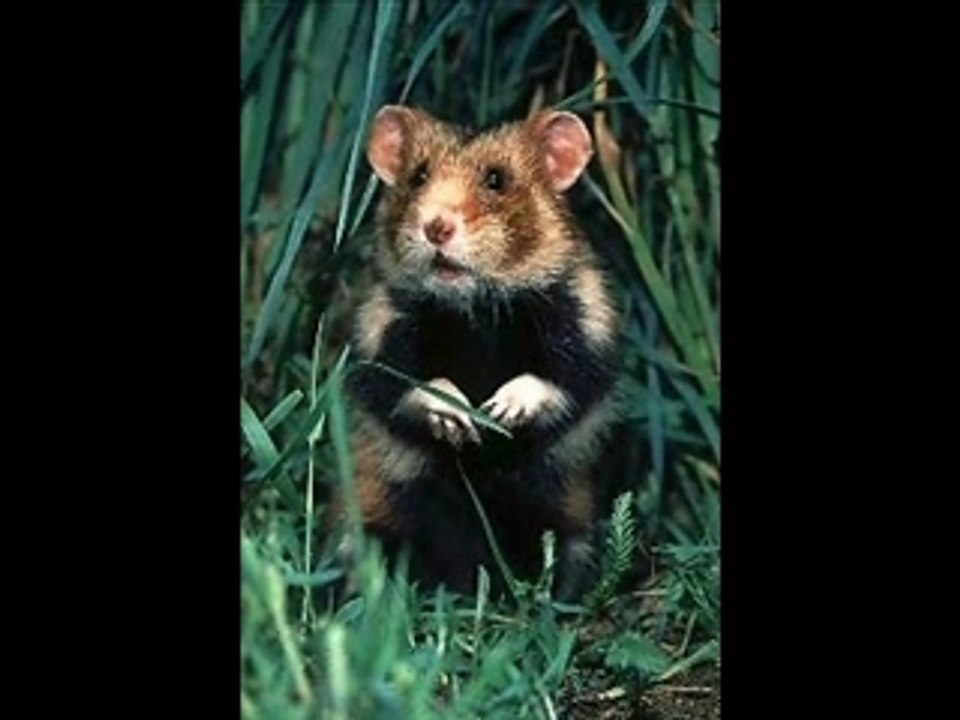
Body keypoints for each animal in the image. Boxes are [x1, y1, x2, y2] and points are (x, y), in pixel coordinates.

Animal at [337, 104, 621, 600]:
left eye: (496, 180)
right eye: (418, 176)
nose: (436, 226)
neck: (475, 312)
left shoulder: (585, 331)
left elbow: (559, 378)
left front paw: (500, 412)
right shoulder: (382, 334)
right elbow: (408, 383)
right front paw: (459, 418)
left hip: (568, 521)